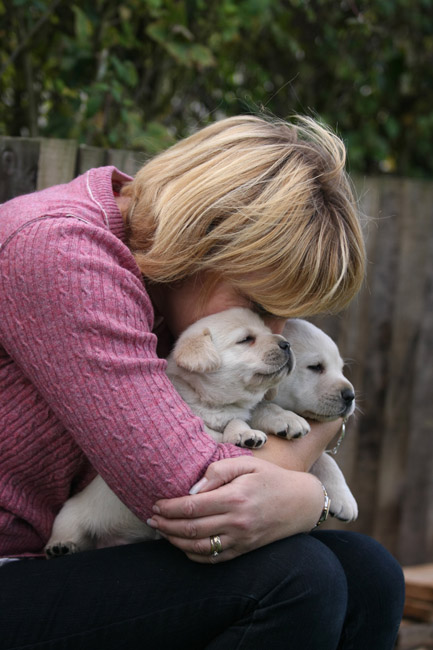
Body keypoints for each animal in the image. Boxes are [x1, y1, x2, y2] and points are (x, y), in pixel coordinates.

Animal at [44, 306, 304, 556]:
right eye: (246, 339)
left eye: (268, 330)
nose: (287, 344)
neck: (209, 400)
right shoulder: (198, 430)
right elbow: (232, 422)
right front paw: (244, 434)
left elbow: (261, 407)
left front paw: (288, 419)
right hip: (69, 515)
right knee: (66, 530)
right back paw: (60, 546)